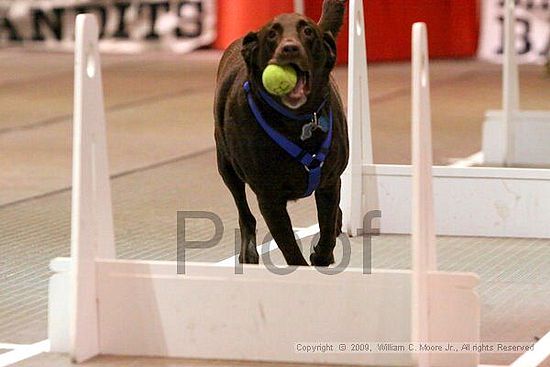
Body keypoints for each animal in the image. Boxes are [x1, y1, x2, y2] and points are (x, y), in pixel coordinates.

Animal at [216, 0, 350, 266]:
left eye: (307, 31)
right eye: (272, 34)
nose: (289, 48)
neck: (295, 122)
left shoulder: (329, 182)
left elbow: (327, 228)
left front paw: (321, 255)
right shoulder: (270, 199)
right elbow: (290, 249)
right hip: (226, 166)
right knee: (244, 212)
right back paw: (248, 252)